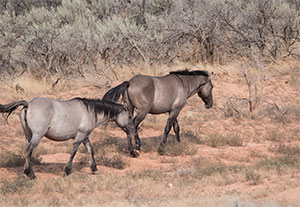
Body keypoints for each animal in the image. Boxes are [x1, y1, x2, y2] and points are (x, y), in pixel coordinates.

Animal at [0, 98, 138, 179]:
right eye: (130, 116)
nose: (134, 132)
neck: (89, 111)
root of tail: (28, 104)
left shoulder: (84, 136)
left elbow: (91, 150)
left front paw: (94, 169)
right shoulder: (80, 136)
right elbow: (73, 152)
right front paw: (67, 170)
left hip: (29, 136)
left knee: (27, 151)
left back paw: (26, 172)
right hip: (37, 136)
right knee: (28, 151)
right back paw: (32, 174)